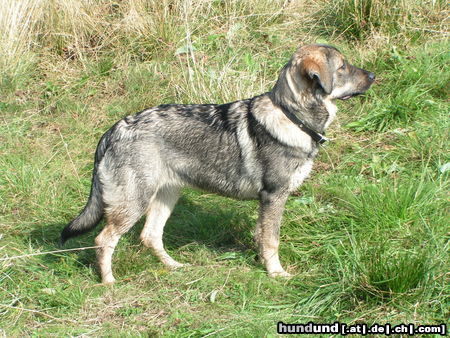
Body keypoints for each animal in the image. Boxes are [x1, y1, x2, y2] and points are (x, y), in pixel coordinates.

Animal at [61, 44, 374, 282]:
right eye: (343, 67)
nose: (373, 75)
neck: (291, 116)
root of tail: (113, 130)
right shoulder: (274, 196)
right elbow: (272, 240)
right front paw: (276, 273)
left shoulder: (266, 203)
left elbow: (261, 237)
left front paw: (263, 263)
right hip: (133, 203)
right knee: (104, 240)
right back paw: (108, 281)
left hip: (165, 197)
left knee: (149, 236)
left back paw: (174, 267)